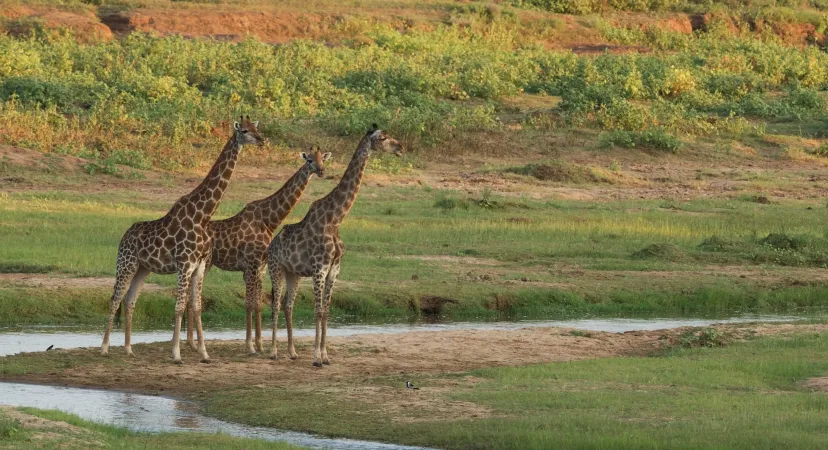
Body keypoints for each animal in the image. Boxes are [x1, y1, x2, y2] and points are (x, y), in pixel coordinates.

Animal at [101, 114, 262, 364]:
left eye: (256, 128)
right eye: (244, 131)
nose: (261, 140)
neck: (203, 215)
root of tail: (124, 236)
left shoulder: (199, 265)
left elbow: (196, 306)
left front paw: (204, 353)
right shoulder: (184, 264)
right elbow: (178, 307)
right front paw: (176, 354)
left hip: (143, 268)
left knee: (130, 301)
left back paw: (128, 349)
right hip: (125, 264)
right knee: (115, 299)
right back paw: (105, 349)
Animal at [186, 148, 332, 356]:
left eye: (322, 159)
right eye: (310, 160)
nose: (321, 170)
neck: (269, 220)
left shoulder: (261, 266)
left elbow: (258, 303)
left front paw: (261, 345)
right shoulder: (251, 264)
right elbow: (248, 303)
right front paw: (250, 346)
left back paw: (191, 343)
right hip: (204, 264)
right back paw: (192, 343)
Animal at [266, 124, 402, 366]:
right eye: (383, 138)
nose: (401, 147)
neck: (335, 220)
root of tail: (271, 244)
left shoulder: (334, 270)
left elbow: (327, 311)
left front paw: (326, 356)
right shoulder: (319, 269)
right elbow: (318, 311)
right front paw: (317, 358)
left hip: (293, 274)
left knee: (288, 305)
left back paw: (292, 352)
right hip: (276, 269)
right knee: (275, 304)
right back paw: (273, 352)